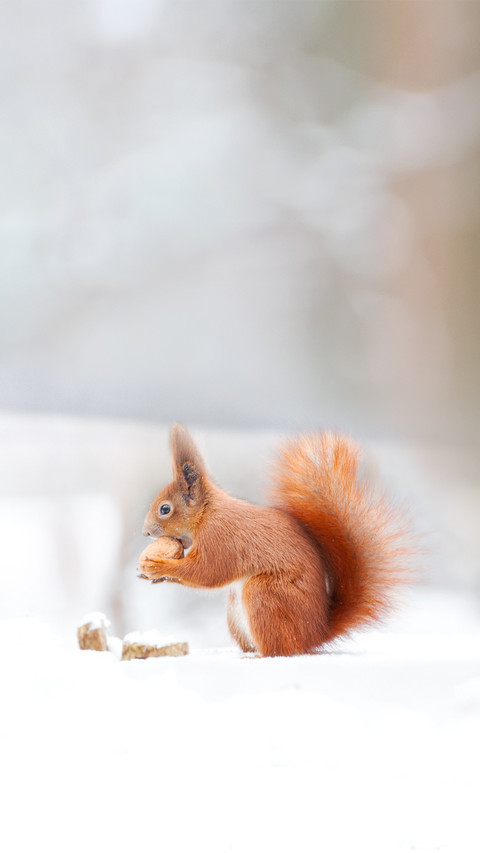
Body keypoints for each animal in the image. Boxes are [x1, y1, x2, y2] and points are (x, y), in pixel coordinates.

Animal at [140, 424, 411, 657]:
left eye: (165, 509)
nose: (145, 532)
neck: (207, 514)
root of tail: (317, 632)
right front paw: (154, 575)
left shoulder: (221, 538)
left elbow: (207, 572)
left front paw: (159, 566)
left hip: (264, 595)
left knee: (279, 649)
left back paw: (259, 656)